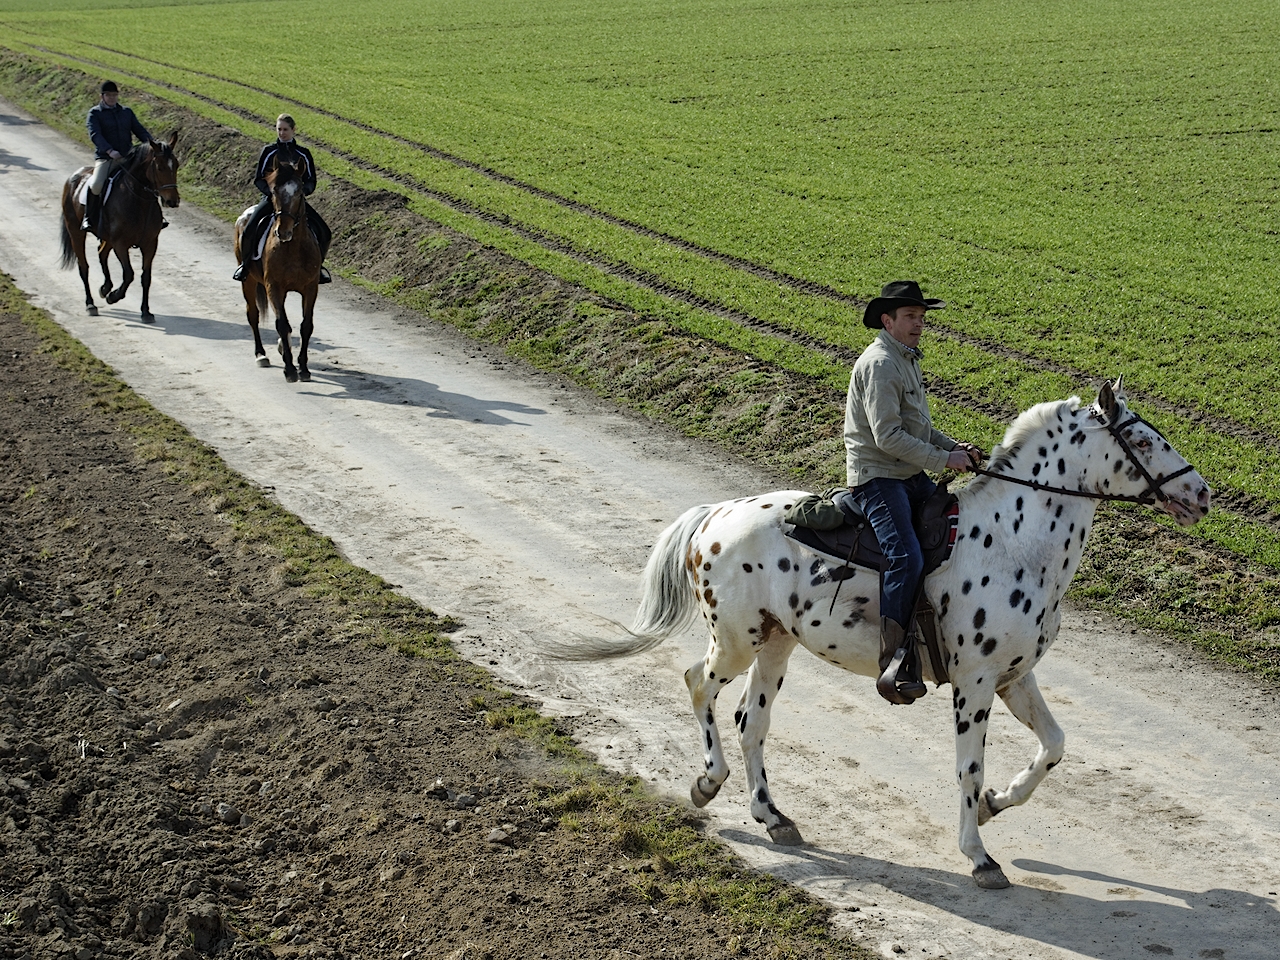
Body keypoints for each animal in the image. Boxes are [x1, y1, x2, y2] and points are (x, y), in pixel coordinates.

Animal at [57, 135, 180, 325]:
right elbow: (129, 274)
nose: (172, 201)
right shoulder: (121, 244)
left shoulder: (150, 244)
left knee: (101, 253)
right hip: (76, 232)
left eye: (177, 165)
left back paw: (105, 288)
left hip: (108, 238)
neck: (139, 201)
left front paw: (146, 312)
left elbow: (146, 277)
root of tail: (74, 176)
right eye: (159, 167)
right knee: (84, 267)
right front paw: (114, 296)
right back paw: (91, 304)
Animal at [236, 156, 325, 384]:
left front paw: (303, 368)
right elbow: (282, 324)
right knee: (253, 314)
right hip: (249, 281)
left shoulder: (311, 288)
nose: (283, 231)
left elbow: (305, 326)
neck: (292, 248)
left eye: (300, 191)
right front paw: (290, 369)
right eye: (274, 190)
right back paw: (261, 355)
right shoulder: (273, 287)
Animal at [560, 378, 1208, 890]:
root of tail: (715, 516)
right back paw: (706, 783)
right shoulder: (974, 683)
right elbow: (968, 768)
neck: (1015, 542)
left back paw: (773, 817)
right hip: (738, 639)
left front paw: (996, 805)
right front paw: (979, 856)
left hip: (776, 644)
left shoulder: (1014, 677)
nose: (1201, 494)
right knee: (699, 684)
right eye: (1142, 440)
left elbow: (1053, 745)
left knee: (752, 722)